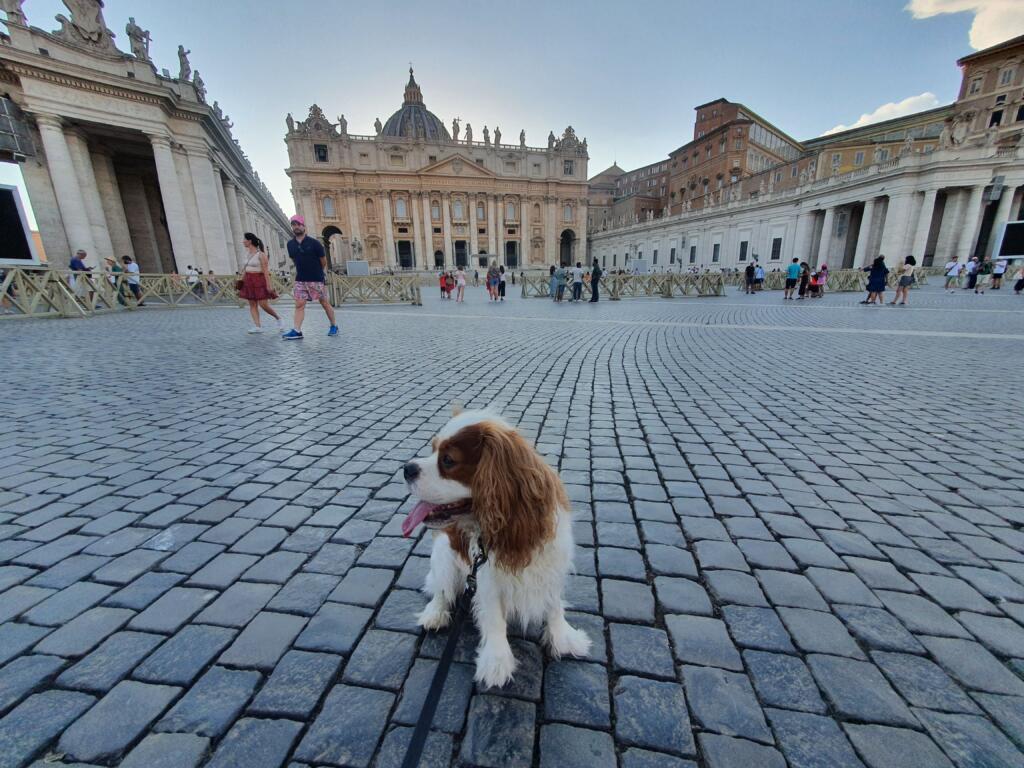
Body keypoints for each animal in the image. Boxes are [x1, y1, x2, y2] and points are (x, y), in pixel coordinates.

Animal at [402, 407, 591, 688]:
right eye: (432, 449)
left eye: (448, 460)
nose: (407, 468)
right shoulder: (485, 577)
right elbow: (494, 618)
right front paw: (497, 661)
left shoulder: (552, 564)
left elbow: (554, 604)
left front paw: (562, 637)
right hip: (443, 556)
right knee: (441, 590)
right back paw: (435, 614)